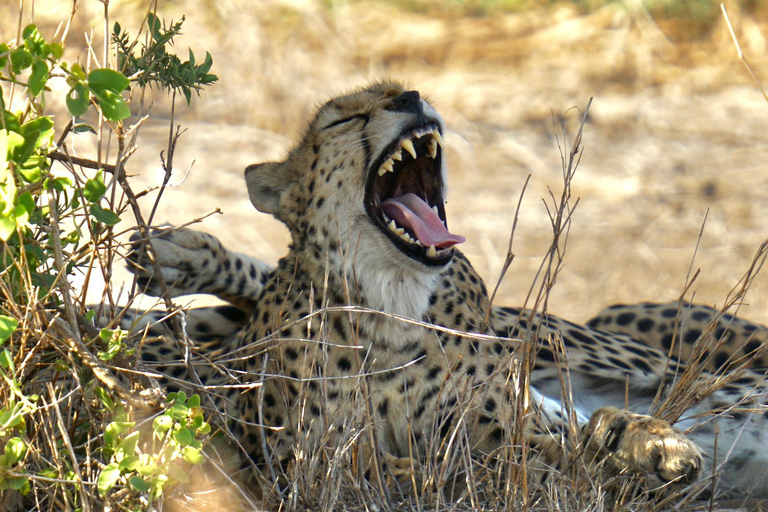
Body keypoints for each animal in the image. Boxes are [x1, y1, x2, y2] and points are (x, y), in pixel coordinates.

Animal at [121, 82, 768, 502]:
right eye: (341, 120)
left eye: (401, 91)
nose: (411, 101)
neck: (392, 304)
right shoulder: (301, 458)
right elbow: (389, 467)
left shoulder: (499, 427)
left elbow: (519, 457)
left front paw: (639, 452)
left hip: (590, 346)